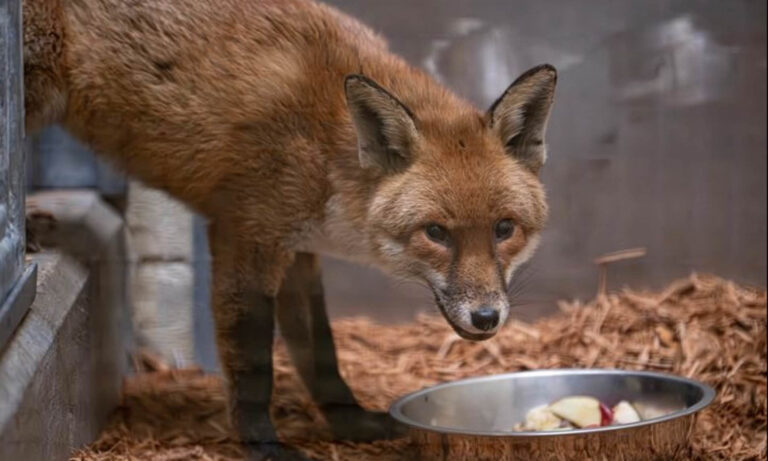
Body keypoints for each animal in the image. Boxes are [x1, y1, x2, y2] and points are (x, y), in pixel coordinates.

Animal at [22, 0, 556, 459]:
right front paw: (263, 445)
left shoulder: (299, 251)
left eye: (504, 228)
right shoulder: (246, 235)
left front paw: (351, 424)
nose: (486, 317)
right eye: (436, 233)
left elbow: (321, 353)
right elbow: (254, 362)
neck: (328, 149)